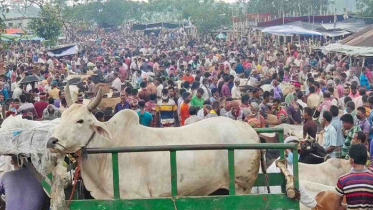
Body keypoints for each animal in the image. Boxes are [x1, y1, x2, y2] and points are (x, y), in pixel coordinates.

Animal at [47, 87, 264, 200]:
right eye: (62, 117)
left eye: (80, 121)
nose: (51, 141)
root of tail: (249, 130)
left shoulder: (136, 198)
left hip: (242, 187)